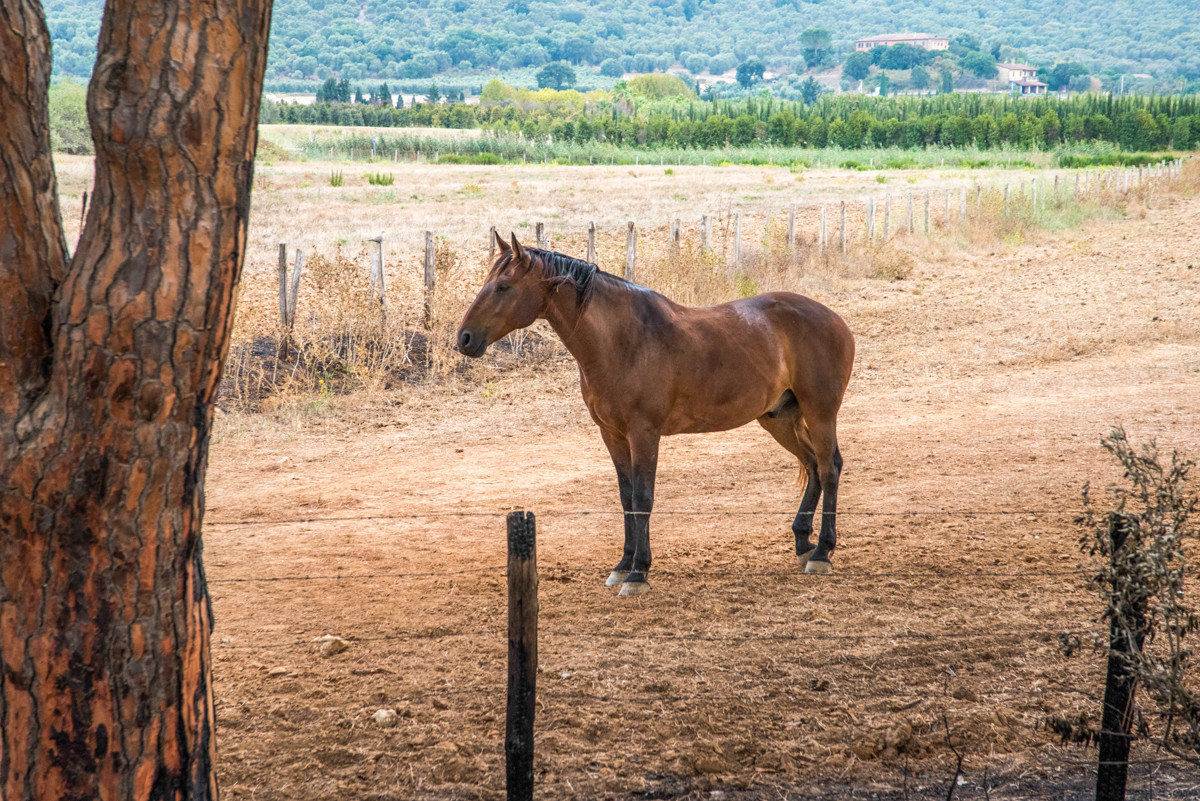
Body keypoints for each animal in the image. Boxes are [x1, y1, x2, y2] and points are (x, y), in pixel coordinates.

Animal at [457, 232, 855, 596]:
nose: (464, 338)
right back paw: (803, 544)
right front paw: (622, 565)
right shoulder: (612, 434)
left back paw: (822, 552)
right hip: (779, 419)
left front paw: (638, 573)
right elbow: (626, 497)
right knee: (812, 465)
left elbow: (643, 498)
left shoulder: (644, 433)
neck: (624, 341)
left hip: (820, 412)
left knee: (829, 467)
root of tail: (835, 319)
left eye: (503, 286)